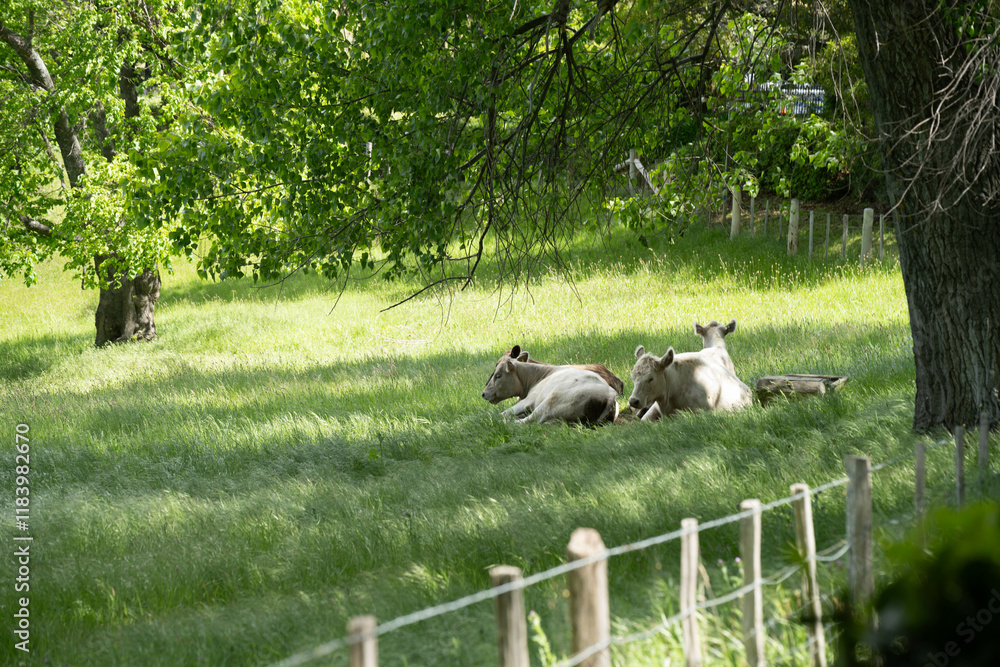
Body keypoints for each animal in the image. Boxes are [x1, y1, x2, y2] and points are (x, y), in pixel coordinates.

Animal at [483, 353, 619, 425]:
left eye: (498, 375)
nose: (483, 394)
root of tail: (610, 395)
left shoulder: (528, 401)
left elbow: (504, 412)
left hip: (549, 403)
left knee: (530, 420)